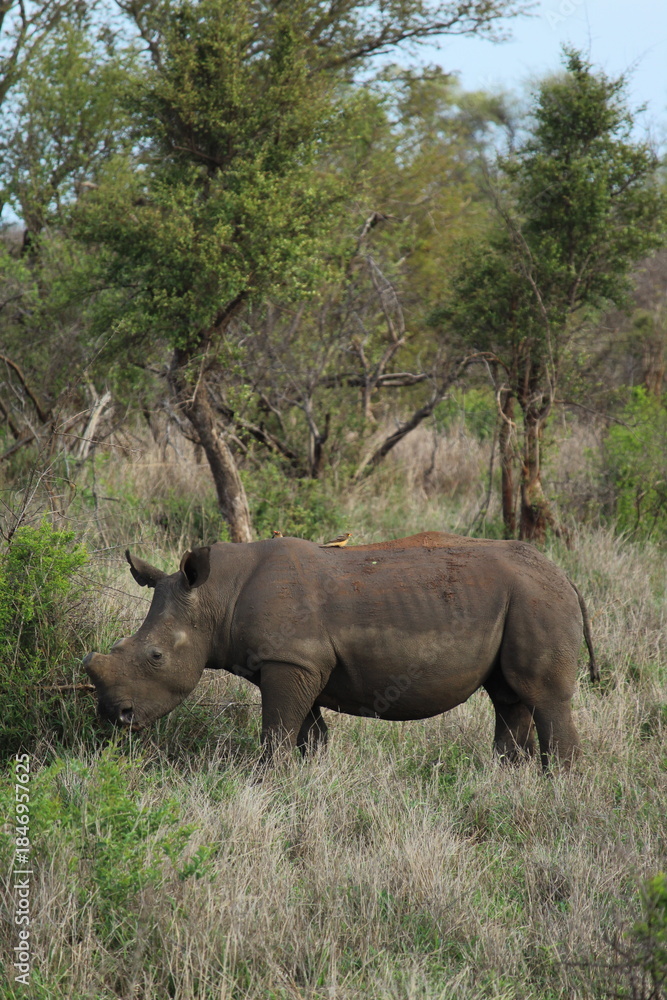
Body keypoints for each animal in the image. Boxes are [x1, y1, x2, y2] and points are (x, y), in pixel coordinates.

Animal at [84, 533, 597, 769]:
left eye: (155, 657)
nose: (115, 716)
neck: (215, 596)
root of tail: (567, 578)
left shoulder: (291, 659)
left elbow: (276, 733)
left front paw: (269, 779)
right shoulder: (304, 662)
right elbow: (308, 732)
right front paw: (309, 774)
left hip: (536, 600)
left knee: (543, 695)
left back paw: (559, 786)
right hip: (520, 599)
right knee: (508, 695)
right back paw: (507, 777)